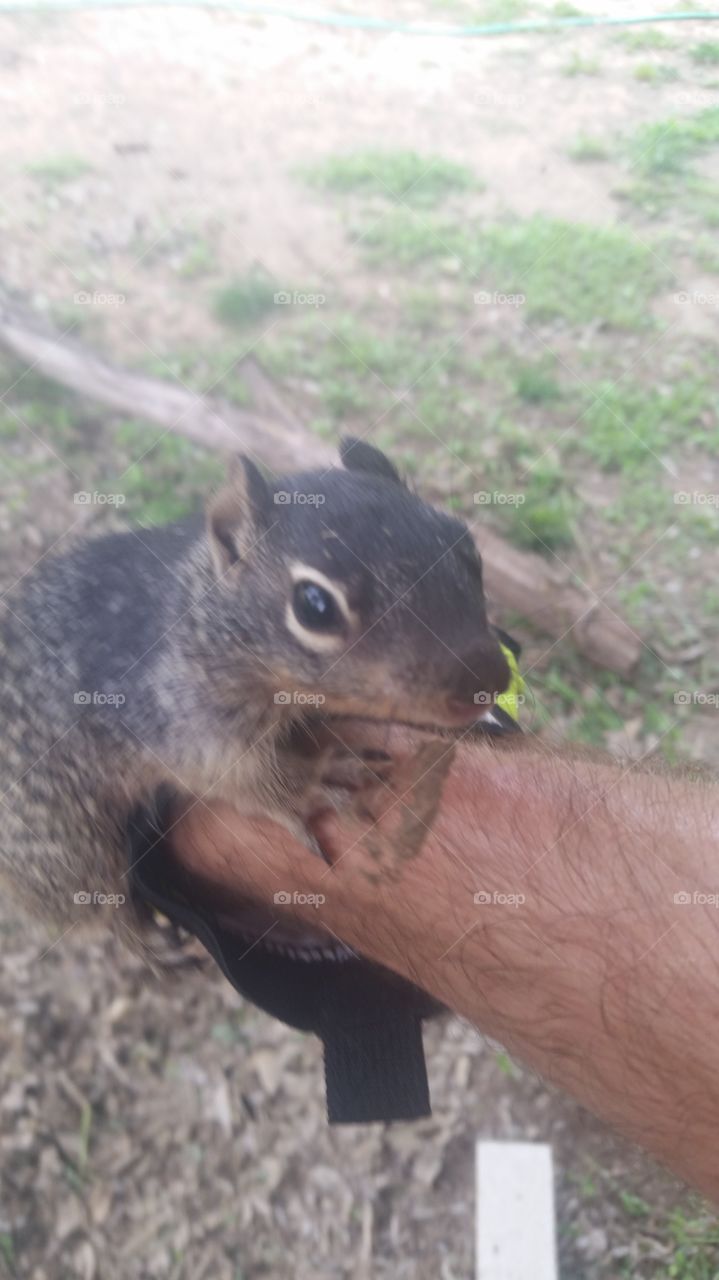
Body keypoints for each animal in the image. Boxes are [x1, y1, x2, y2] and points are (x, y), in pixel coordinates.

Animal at [0, 437, 510, 956]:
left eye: (467, 548)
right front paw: (314, 781)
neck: (202, 612)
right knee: (98, 906)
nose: (488, 683)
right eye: (314, 606)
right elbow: (239, 774)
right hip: (61, 844)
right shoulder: (182, 720)